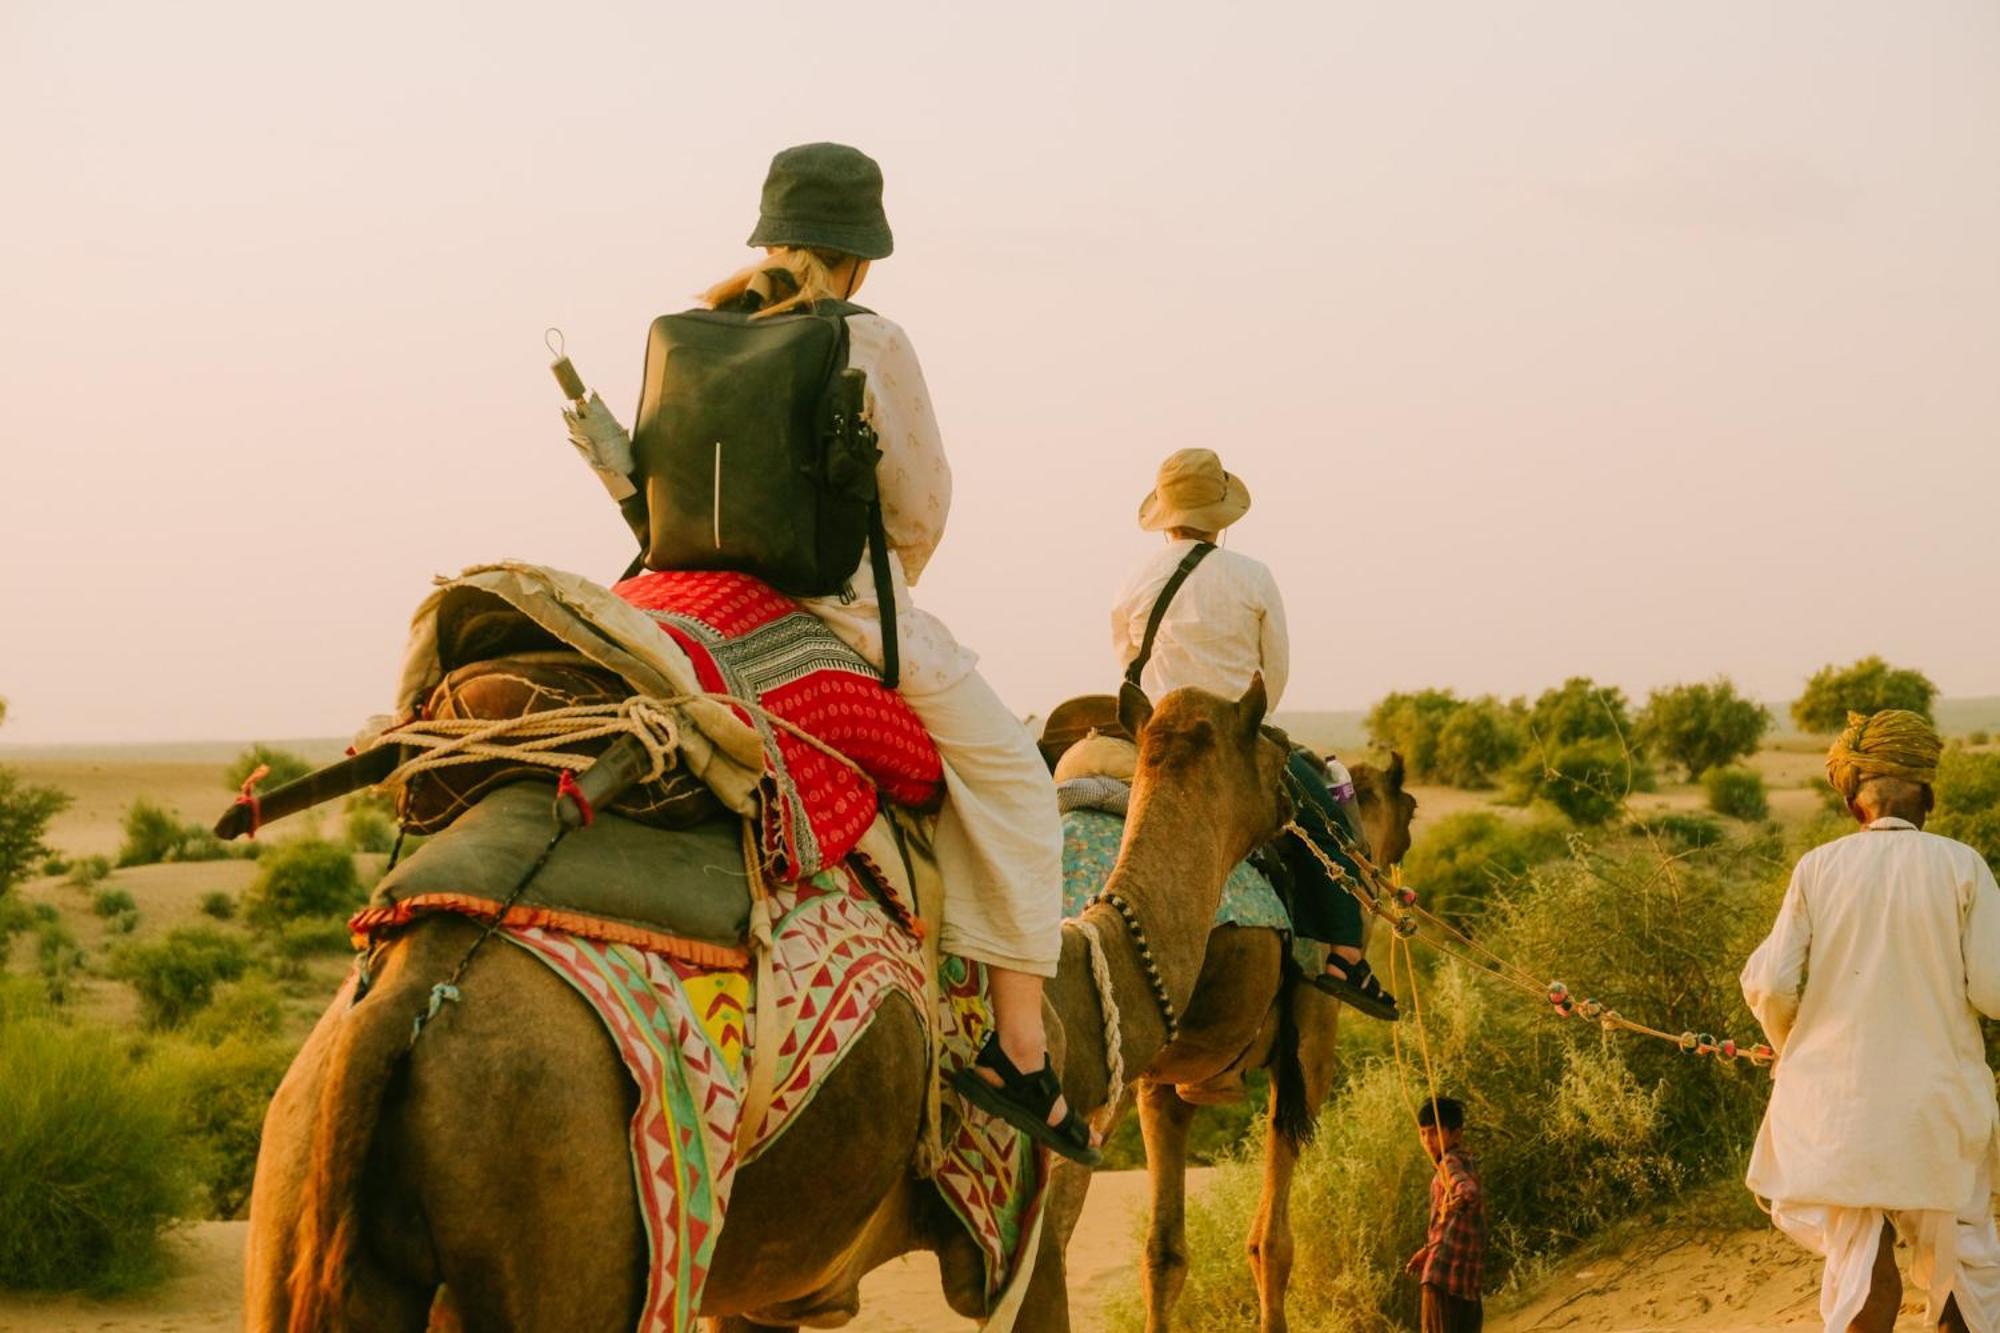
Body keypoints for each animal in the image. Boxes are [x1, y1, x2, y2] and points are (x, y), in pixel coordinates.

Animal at [242, 680, 1288, 1320]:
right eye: (1275, 747)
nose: (1305, 799)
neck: (1088, 975)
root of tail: (396, 1011)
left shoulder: (769, 1284)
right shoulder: (1025, 1247)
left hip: (301, 1199)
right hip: (556, 1223)